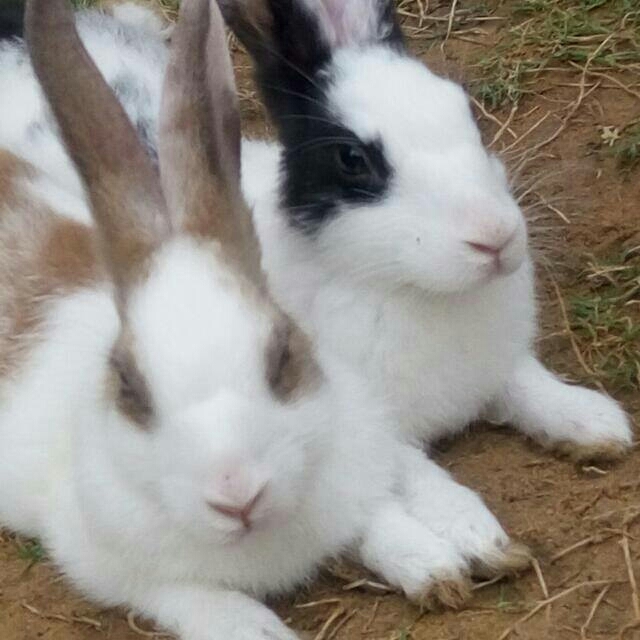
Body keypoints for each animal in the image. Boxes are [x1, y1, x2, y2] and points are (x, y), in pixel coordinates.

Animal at [0, 0, 489, 635]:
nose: (236, 495)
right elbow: (193, 597)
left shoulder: (351, 476)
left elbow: (378, 517)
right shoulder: (107, 564)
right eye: (130, 389)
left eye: (283, 357)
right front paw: (257, 627)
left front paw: (436, 567)